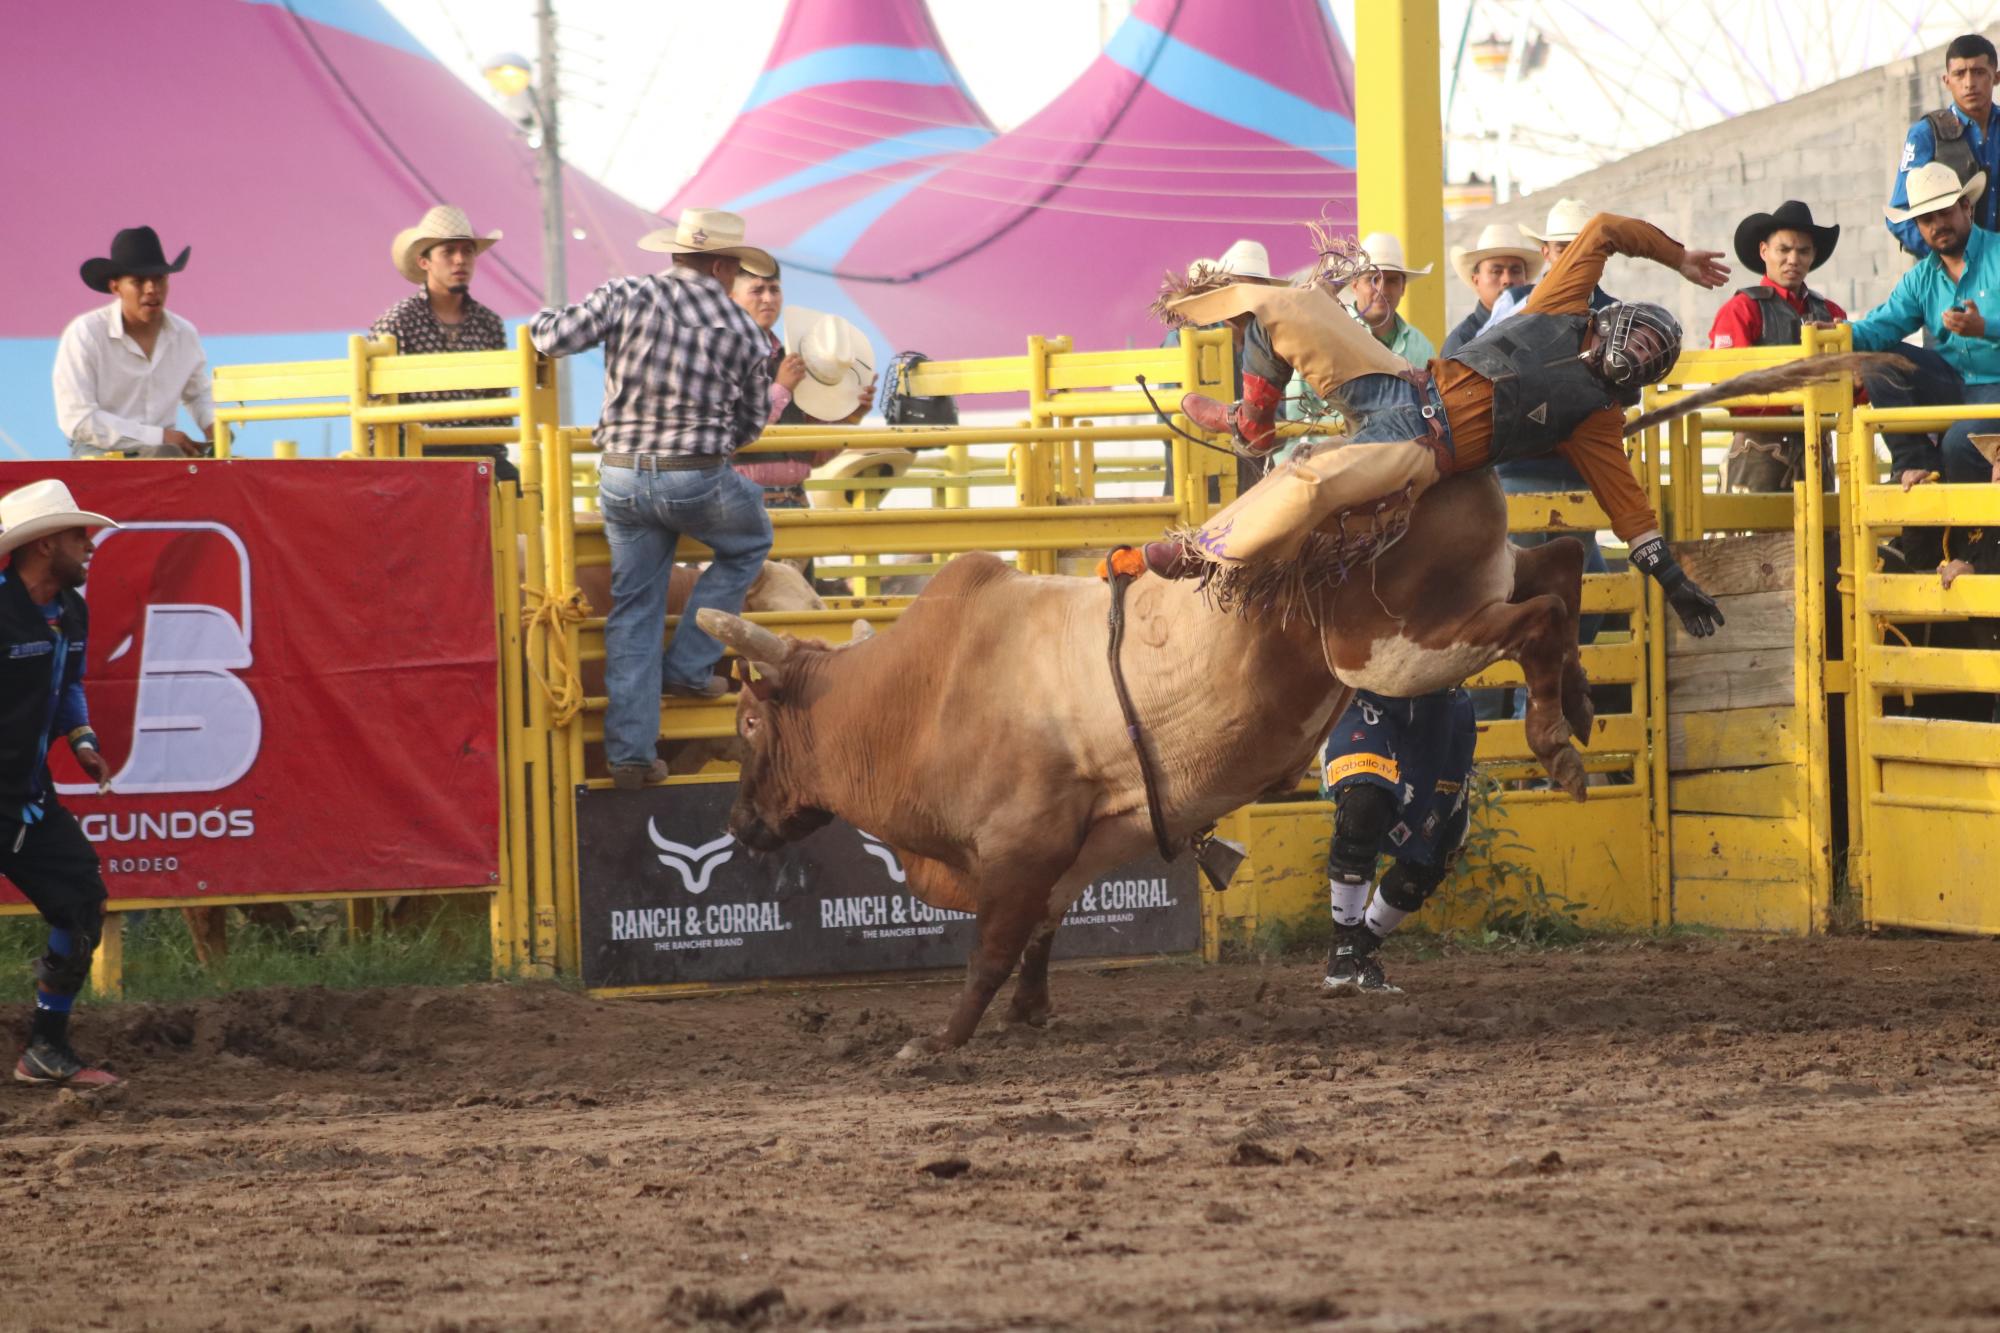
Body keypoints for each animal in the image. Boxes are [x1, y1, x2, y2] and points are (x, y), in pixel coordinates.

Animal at [696, 472, 1584, 1056]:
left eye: (748, 722)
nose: (738, 821)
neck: (922, 695)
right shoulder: (1079, 844)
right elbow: (1042, 929)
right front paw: (1029, 1012)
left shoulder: (1020, 843)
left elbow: (992, 947)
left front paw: (941, 1041)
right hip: (1466, 593)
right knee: (1559, 562)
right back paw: (1573, 694)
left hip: (1396, 642)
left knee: (1539, 610)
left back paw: (1554, 730)